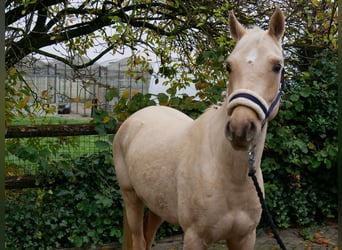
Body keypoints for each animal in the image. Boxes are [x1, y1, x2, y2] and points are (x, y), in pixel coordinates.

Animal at [113, 7, 284, 250]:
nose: (240, 128)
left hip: (158, 205)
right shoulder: (195, 237)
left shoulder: (244, 237)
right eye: (229, 66)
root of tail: (132, 120)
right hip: (132, 198)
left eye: (277, 66)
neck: (229, 176)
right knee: (138, 239)